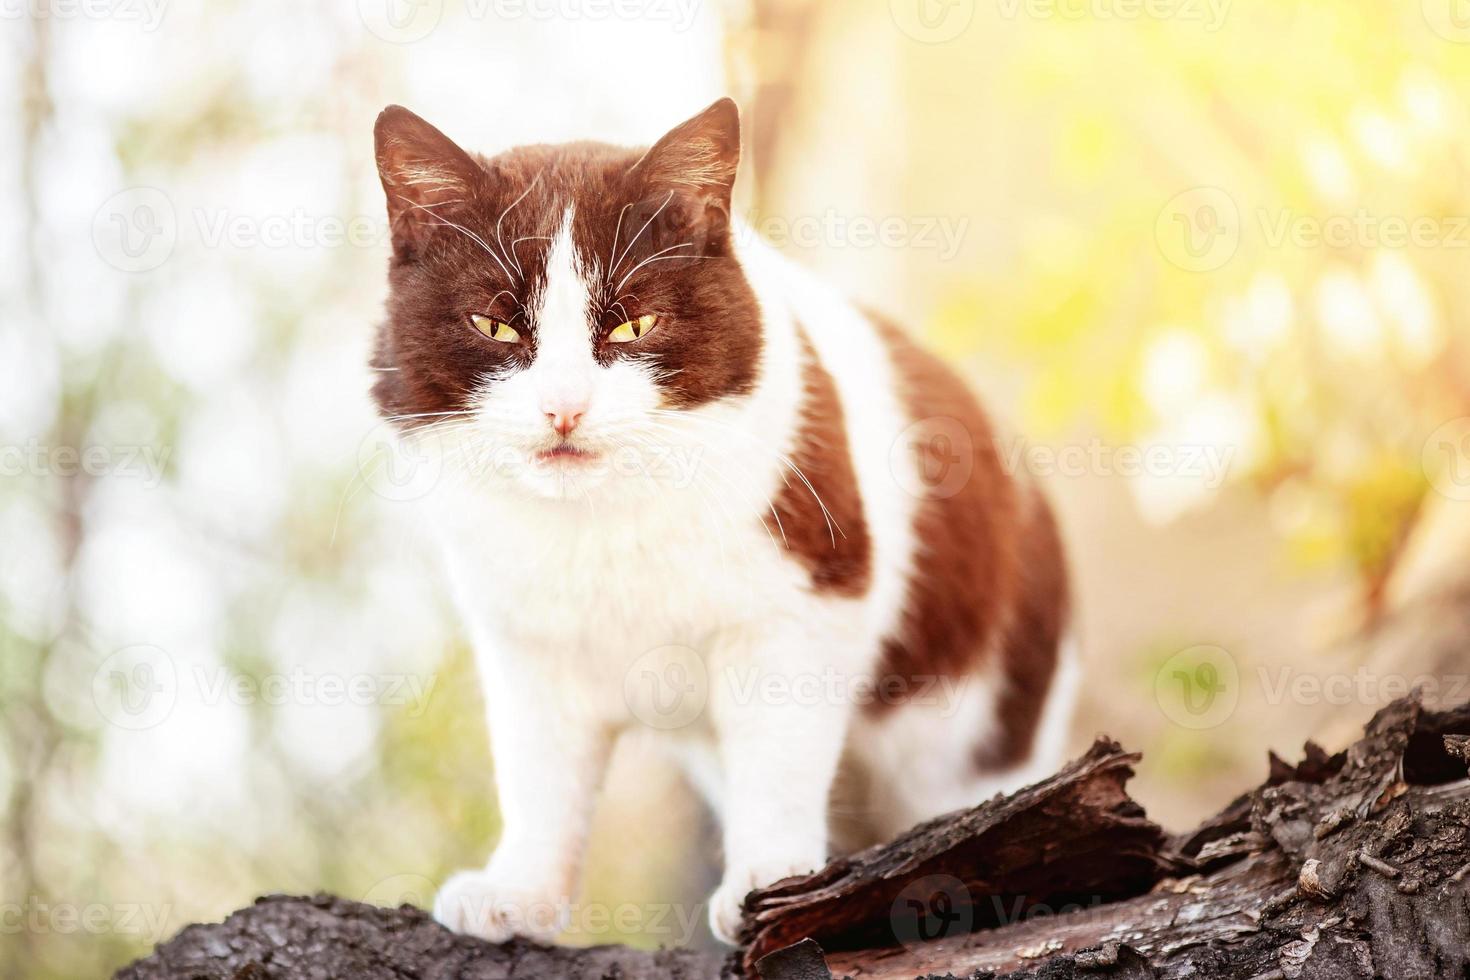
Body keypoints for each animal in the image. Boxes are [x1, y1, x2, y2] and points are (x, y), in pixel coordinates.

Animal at [367, 97, 1081, 940]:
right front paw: (518, 892)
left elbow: (778, 753)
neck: (601, 530)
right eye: (496, 327)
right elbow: (539, 776)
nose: (564, 409)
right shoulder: (525, 645)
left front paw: (768, 880)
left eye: (634, 326)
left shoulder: (801, 608)